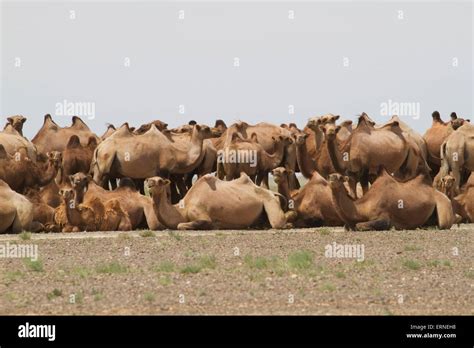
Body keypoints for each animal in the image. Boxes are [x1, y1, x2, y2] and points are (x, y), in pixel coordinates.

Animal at [148, 174, 286, 231]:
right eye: (149, 179)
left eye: (160, 181)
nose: (149, 182)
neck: (182, 209)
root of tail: (272, 192)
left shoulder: (202, 215)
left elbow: (180, 225)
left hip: (270, 201)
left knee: (277, 223)